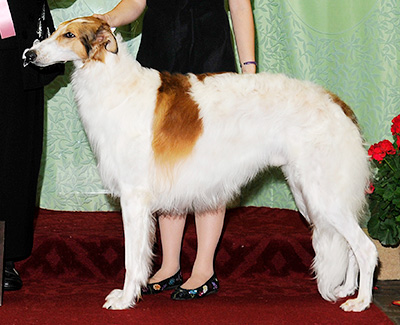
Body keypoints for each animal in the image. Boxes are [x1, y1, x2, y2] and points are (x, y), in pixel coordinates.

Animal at [22, 16, 378, 310]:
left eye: (68, 35)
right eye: (53, 30)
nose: (29, 54)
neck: (112, 80)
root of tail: (337, 103)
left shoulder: (134, 196)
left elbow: (132, 259)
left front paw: (125, 298)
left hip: (322, 194)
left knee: (366, 248)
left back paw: (360, 302)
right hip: (309, 195)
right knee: (350, 245)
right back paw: (347, 289)